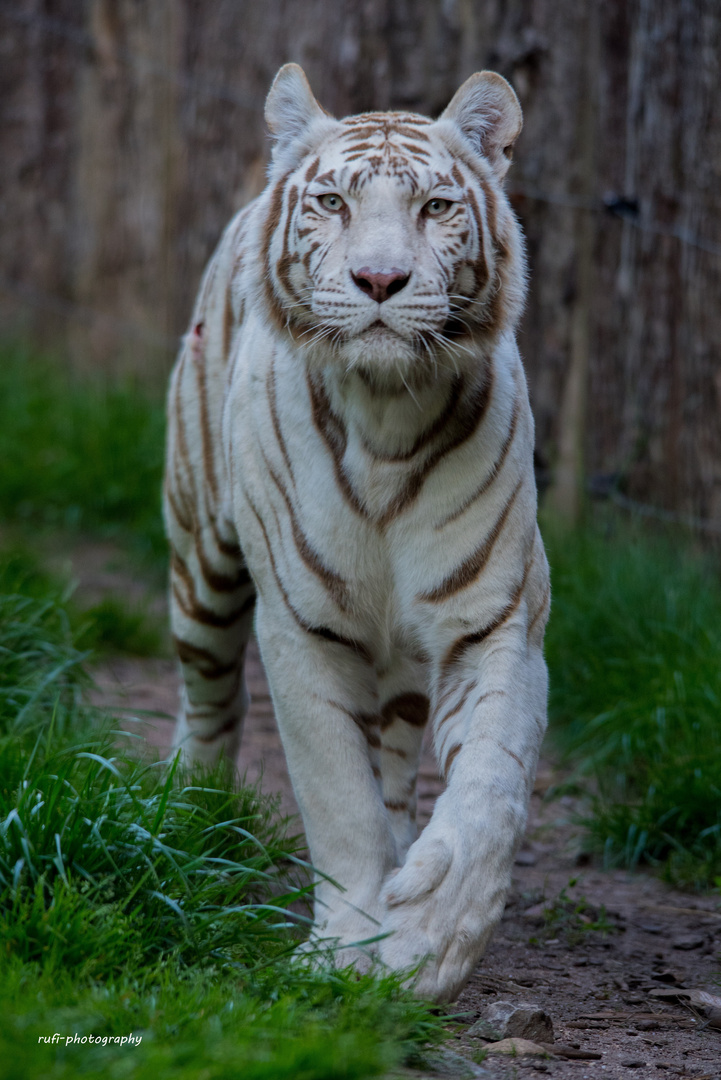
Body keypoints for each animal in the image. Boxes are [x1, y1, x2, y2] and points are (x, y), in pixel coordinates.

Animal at [166, 61, 548, 1002]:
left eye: (436, 207)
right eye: (333, 203)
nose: (380, 280)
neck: (386, 419)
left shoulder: (493, 621)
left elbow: (489, 783)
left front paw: (429, 938)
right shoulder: (303, 628)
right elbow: (338, 797)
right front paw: (343, 947)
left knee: (401, 756)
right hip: (202, 561)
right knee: (209, 693)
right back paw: (190, 807)